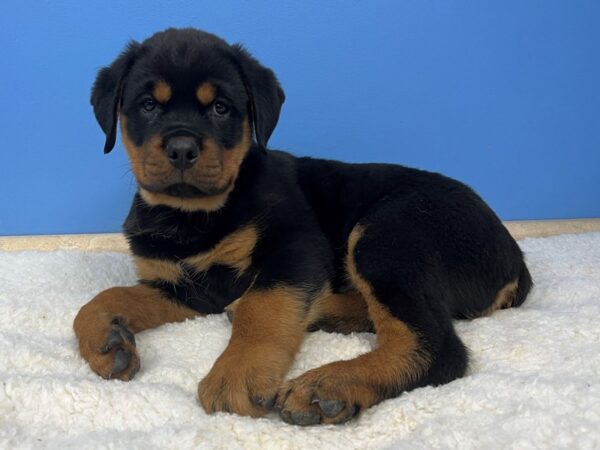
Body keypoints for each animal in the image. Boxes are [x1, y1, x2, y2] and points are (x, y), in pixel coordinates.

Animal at [72, 28, 532, 426]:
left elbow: (264, 305)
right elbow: (104, 298)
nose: (182, 148)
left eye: (221, 108)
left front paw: (237, 375)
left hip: (388, 233)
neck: (189, 215)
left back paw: (329, 385)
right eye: (148, 105)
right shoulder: (186, 288)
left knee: (435, 346)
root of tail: (516, 260)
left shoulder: (295, 245)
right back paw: (325, 313)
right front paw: (106, 341)